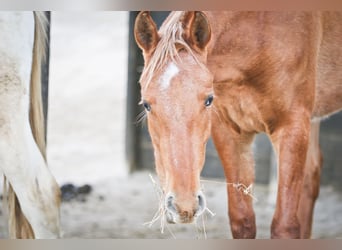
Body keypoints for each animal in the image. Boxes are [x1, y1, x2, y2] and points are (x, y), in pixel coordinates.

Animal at [134, 11, 342, 238]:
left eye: (208, 100)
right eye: (146, 104)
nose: (184, 205)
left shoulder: (292, 127)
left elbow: (284, 225)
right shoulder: (230, 134)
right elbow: (242, 221)